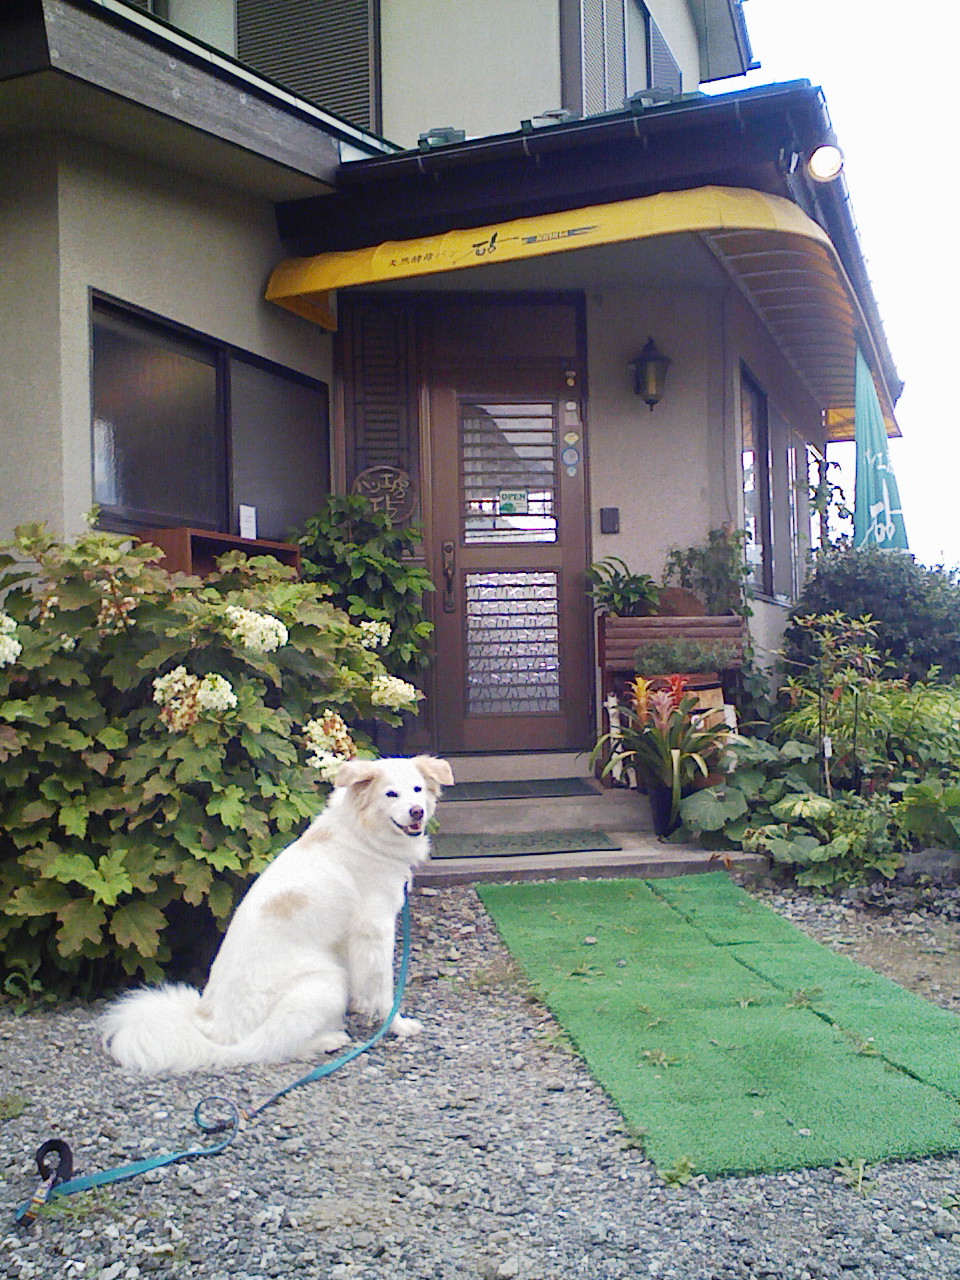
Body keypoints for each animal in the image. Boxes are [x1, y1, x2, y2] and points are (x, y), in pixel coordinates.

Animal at [101, 752, 455, 1075]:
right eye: (391, 794)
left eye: (417, 789)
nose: (417, 811)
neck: (362, 835)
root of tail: (214, 1031)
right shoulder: (374, 930)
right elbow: (382, 988)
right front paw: (397, 1025)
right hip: (325, 981)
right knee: (271, 1046)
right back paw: (328, 1040)